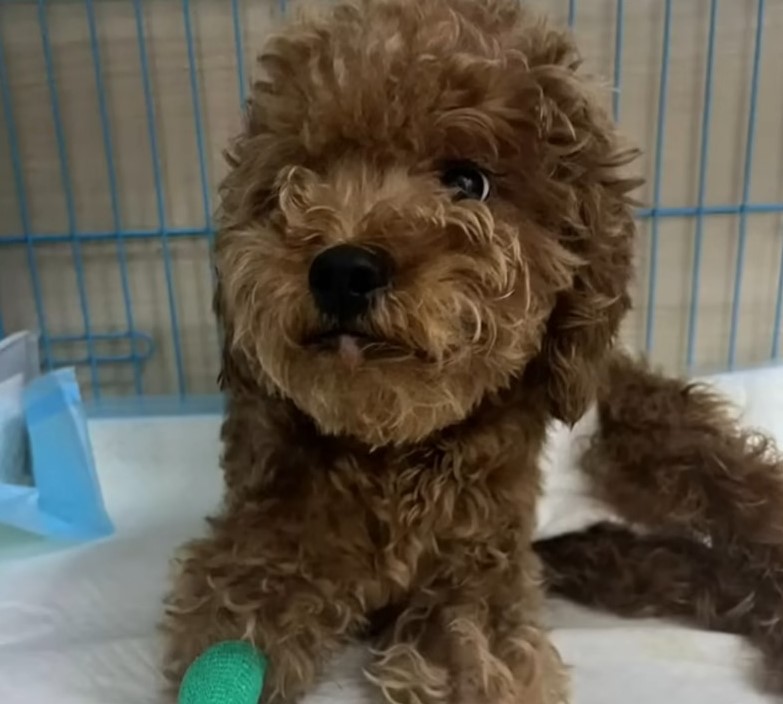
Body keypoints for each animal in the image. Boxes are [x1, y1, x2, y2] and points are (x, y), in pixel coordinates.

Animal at [162, 2, 783, 700]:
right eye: (300, 179)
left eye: (468, 181)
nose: (342, 270)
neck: (393, 445)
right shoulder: (270, 528)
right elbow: (238, 610)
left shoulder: (480, 564)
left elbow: (473, 647)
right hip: (603, 551)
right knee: (692, 567)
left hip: (659, 443)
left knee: (745, 502)